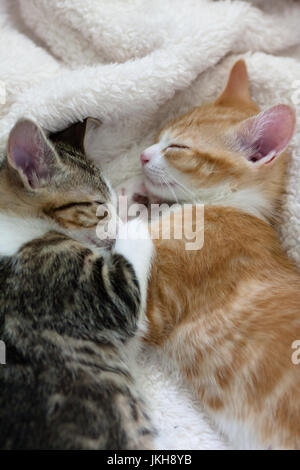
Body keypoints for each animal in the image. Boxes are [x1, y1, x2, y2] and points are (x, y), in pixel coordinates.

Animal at [0, 119, 155, 450]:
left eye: (110, 201)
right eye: (99, 207)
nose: (116, 221)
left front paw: (134, 191)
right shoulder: (97, 295)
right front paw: (138, 218)